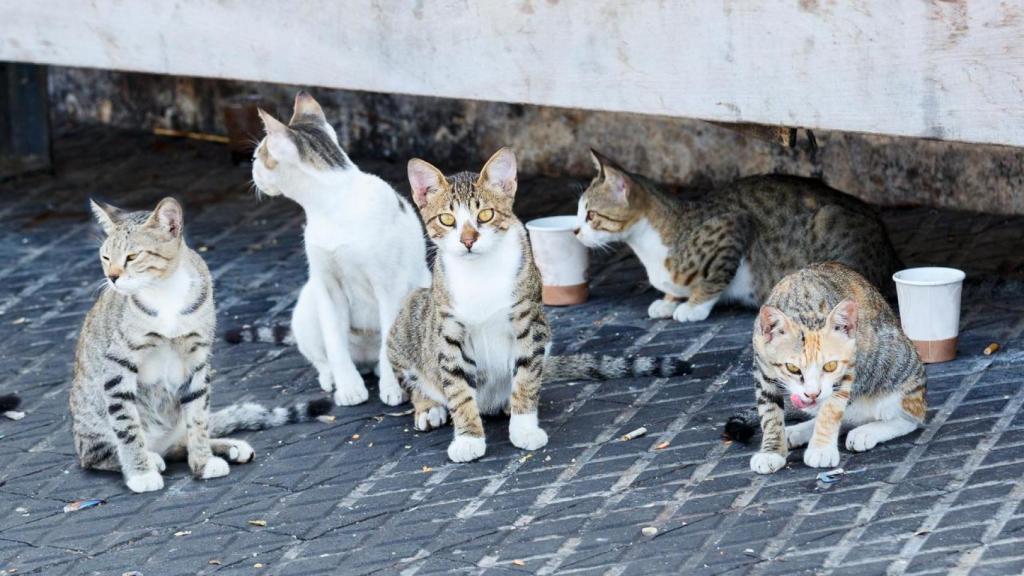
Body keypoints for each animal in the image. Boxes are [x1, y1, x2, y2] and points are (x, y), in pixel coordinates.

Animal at [387, 147, 692, 461]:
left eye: (485, 214)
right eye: (447, 220)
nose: (468, 240)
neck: (480, 273)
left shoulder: (529, 322)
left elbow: (526, 378)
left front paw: (524, 428)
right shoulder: (449, 332)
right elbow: (458, 388)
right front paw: (468, 438)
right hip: (408, 315)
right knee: (416, 379)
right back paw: (429, 407)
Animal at [573, 150, 901, 323]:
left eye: (590, 215)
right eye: (578, 213)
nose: (575, 231)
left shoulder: (734, 227)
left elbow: (714, 278)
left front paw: (692, 307)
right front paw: (668, 300)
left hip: (828, 227)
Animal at [729, 262, 929, 473]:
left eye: (830, 365)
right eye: (792, 368)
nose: (812, 393)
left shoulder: (847, 368)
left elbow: (831, 409)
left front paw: (821, 449)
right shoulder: (762, 369)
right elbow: (769, 411)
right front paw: (772, 451)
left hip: (897, 367)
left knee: (910, 418)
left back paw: (867, 431)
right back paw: (797, 431)